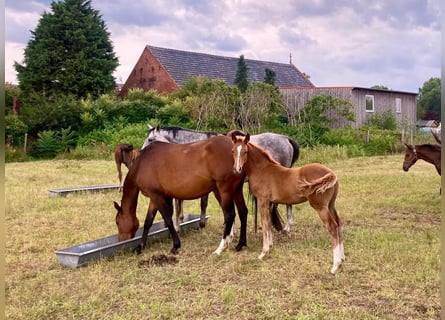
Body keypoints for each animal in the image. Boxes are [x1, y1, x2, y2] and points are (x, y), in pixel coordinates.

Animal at [112, 136, 248, 256]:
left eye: (117, 222)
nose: (121, 241)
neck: (143, 163)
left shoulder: (156, 196)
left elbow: (168, 219)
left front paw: (175, 246)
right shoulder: (154, 197)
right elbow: (148, 222)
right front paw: (141, 246)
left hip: (224, 190)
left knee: (230, 215)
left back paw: (220, 248)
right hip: (235, 190)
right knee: (242, 212)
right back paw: (240, 244)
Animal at [231, 133, 346, 276]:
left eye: (245, 151)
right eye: (233, 151)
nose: (237, 169)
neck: (262, 170)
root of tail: (331, 174)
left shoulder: (263, 201)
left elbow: (265, 224)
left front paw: (263, 253)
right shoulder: (270, 203)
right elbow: (269, 223)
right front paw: (270, 246)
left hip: (320, 207)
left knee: (332, 227)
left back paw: (335, 266)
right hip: (331, 205)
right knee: (339, 224)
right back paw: (342, 258)